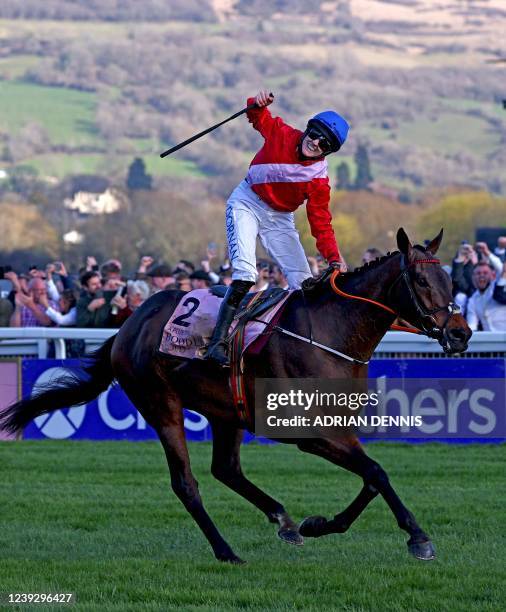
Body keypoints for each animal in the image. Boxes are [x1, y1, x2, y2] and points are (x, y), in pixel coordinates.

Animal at [1, 228, 472, 564]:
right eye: (421, 281)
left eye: (449, 279)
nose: (461, 333)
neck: (330, 332)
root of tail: (128, 325)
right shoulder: (304, 432)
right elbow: (376, 472)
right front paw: (418, 537)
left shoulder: (337, 426)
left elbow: (373, 476)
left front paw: (316, 524)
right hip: (161, 405)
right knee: (186, 483)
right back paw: (226, 551)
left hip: (226, 413)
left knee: (225, 469)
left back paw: (283, 520)